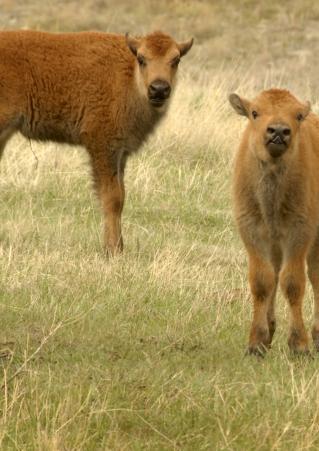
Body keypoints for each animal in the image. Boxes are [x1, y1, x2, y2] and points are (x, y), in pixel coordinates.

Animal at [0, 30, 192, 256]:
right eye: (142, 59)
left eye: (176, 60)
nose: (159, 89)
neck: (129, 77)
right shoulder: (103, 145)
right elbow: (113, 198)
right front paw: (113, 251)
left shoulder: (120, 152)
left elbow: (121, 194)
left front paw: (119, 247)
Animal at [230, 89, 319, 356]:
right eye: (254, 112)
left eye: (298, 115)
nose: (278, 131)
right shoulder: (252, 231)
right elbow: (263, 280)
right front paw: (257, 343)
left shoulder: (300, 233)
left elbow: (293, 282)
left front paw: (299, 345)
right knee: (276, 274)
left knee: (315, 277)